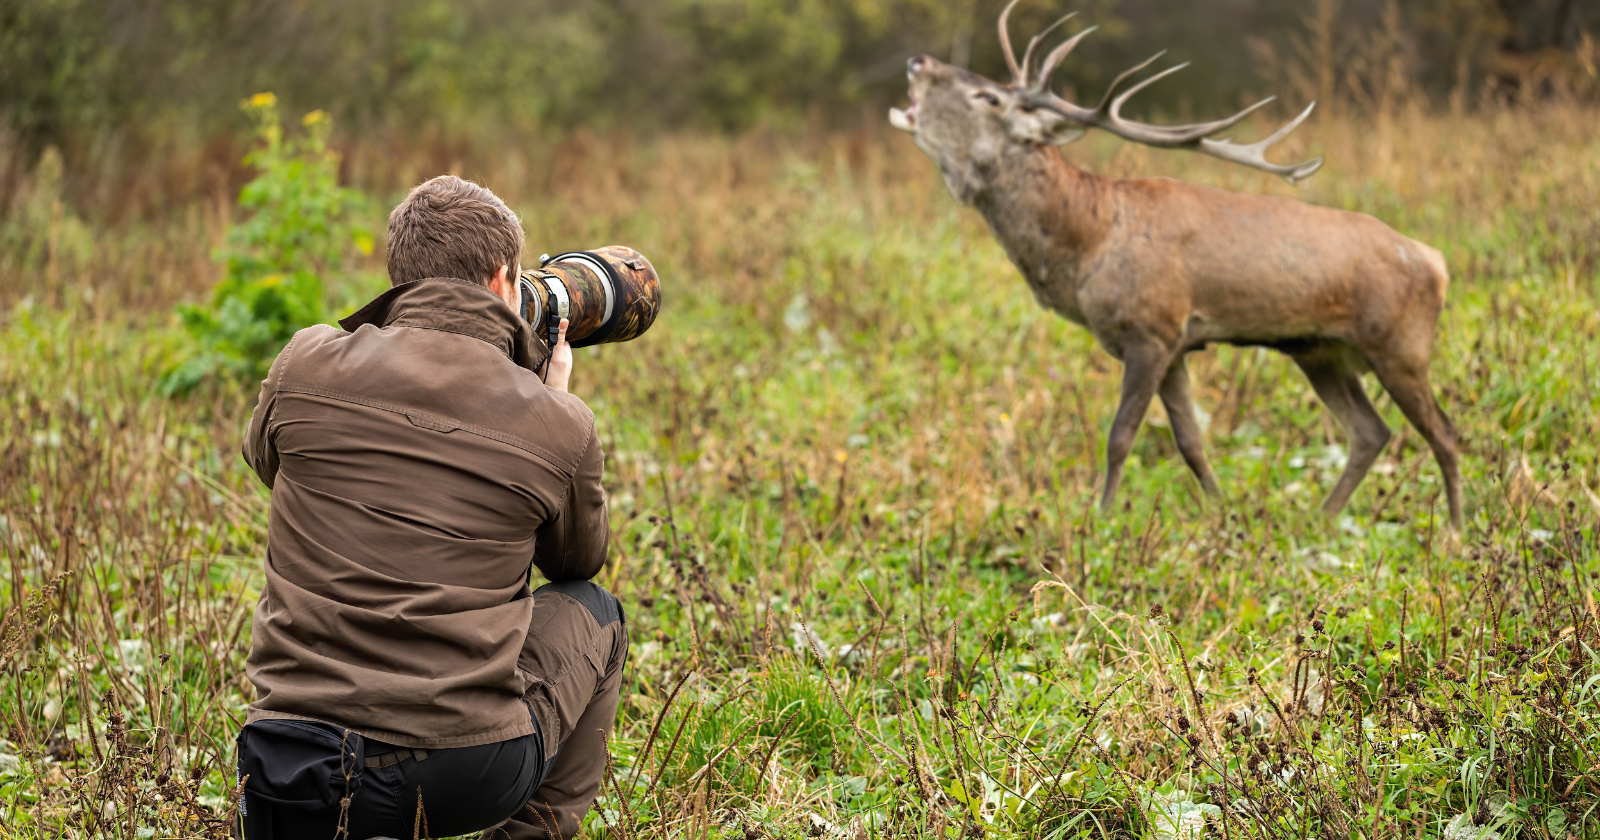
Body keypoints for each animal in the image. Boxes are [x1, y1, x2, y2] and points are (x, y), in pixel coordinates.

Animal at [889, 1, 1462, 529]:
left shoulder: (1152, 328)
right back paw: (1322, 517)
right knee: (1371, 430)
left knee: (1445, 433)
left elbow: (1120, 436)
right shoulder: (1178, 345)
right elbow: (1189, 440)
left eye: (988, 96)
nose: (917, 59)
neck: (1085, 247)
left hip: (1400, 344)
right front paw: (1220, 511)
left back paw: (1456, 530)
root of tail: (1437, 261)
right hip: (1320, 351)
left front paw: (1102, 520)